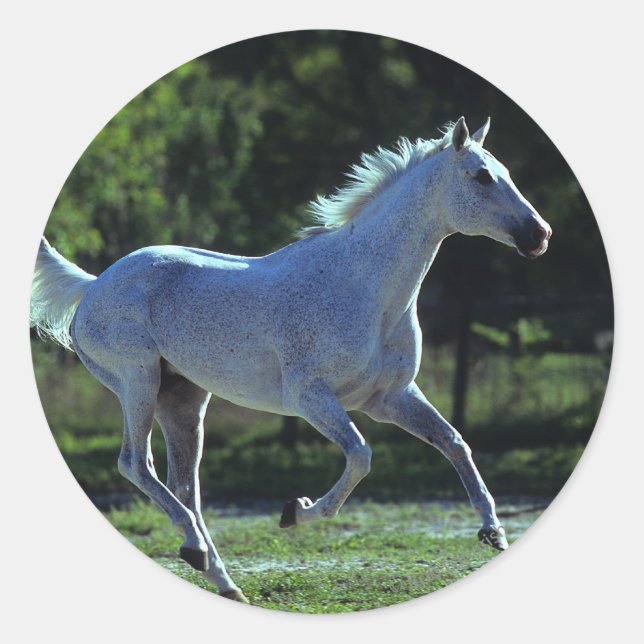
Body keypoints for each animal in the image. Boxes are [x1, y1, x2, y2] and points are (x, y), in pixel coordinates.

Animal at [30, 117, 552, 603]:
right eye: (481, 176)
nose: (539, 234)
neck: (364, 286)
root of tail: (92, 286)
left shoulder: (390, 398)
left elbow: (454, 442)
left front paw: (493, 532)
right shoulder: (311, 398)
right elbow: (361, 456)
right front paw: (295, 512)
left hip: (183, 402)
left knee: (185, 488)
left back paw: (221, 578)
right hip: (137, 382)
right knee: (136, 466)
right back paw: (196, 550)